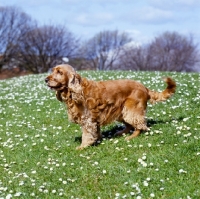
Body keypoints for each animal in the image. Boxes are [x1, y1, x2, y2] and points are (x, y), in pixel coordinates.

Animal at [45, 64, 175, 148]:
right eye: (53, 70)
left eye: (60, 72)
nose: (46, 79)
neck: (75, 91)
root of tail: (145, 88)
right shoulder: (94, 118)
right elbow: (96, 131)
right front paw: (97, 140)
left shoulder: (87, 119)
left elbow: (86, 135)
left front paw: (83, 146)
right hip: (122, 111)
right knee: (130, 125)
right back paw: (121, 133)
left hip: (131, 110)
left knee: (140, 125)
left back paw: (131, 136)